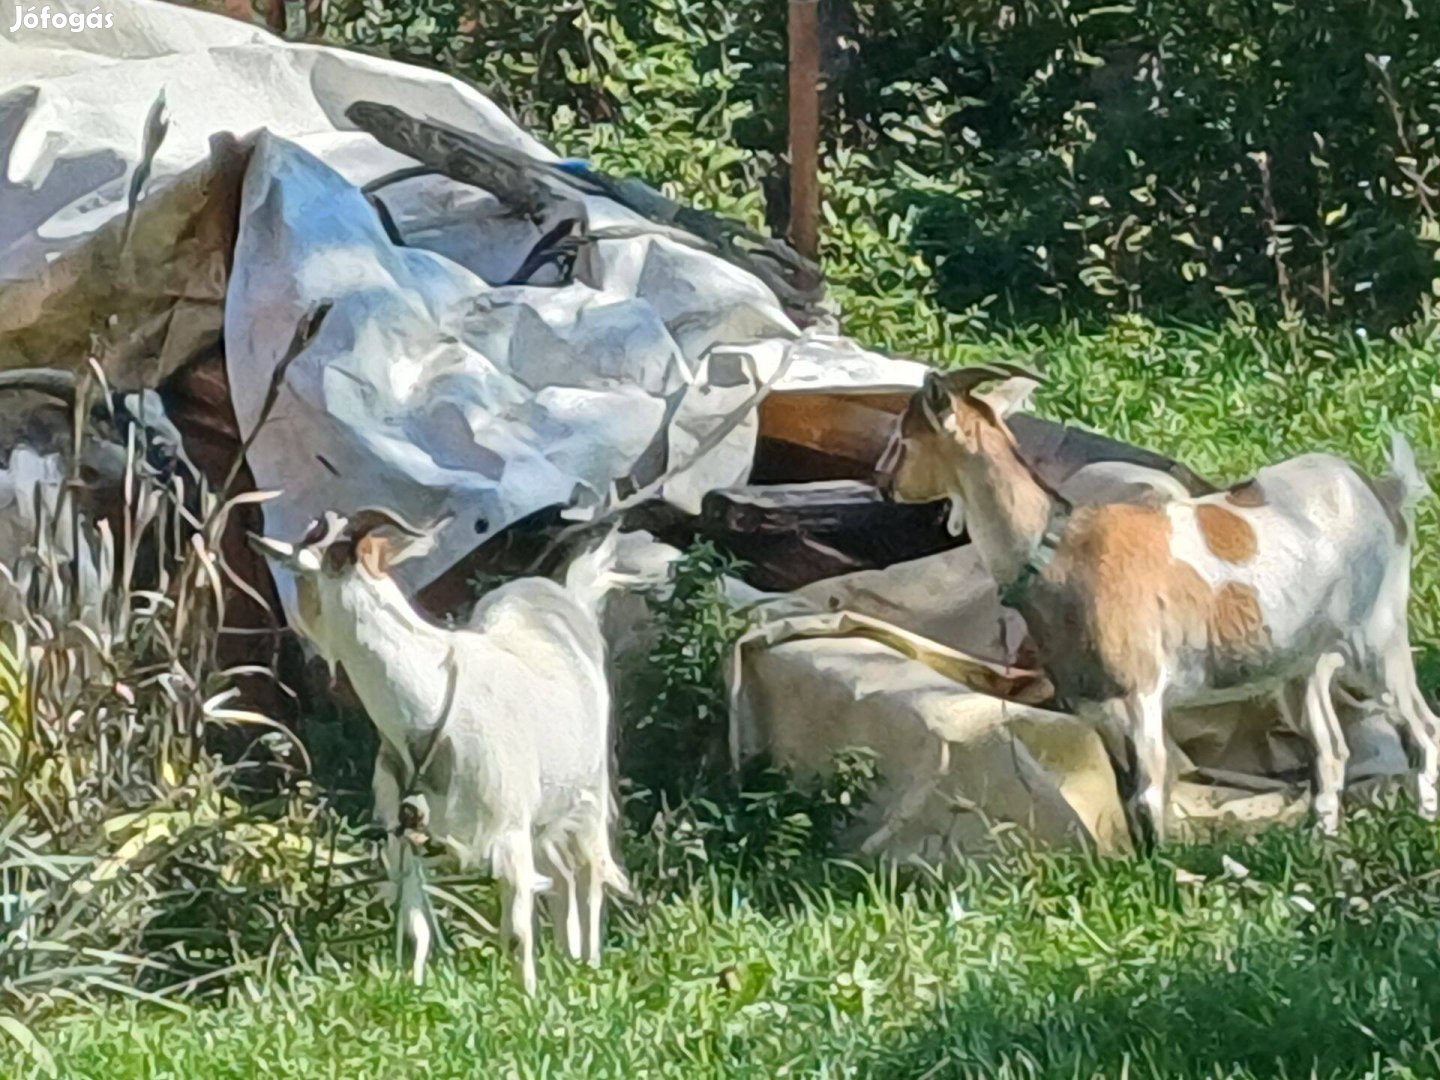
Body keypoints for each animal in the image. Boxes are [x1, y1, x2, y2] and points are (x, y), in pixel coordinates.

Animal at [249, 512, 630, 996]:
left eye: (304, 572)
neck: (429, 709)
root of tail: (569, 601)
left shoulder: (507, 828)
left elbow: (517, 932)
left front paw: (527, 997)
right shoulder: (403, 833)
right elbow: (415, 929)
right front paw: (412, 993)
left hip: (589, 791)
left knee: (588, 872)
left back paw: (589, 964)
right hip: (544, 815)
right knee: (561, 876)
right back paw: (570, 957)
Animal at [875, 371, 1440, 846]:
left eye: (905, 437)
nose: (883, 482)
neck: (1059, 547)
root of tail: (1381, 493)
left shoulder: (1140, 691)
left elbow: (1149, 789)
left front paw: (1163, 871)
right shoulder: (1094, 705)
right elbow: (1131, 792)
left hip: (1377, 634)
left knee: (1422, 728)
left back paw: (1422, 819)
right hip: (1303, 663)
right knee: (1331, 749)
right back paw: (1321, 841)